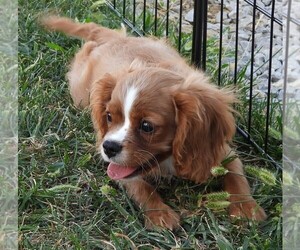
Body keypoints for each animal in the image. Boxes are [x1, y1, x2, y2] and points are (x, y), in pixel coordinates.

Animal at [41, 15, 266, 229]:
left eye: (147, 126)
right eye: (109, 117)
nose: (108, 147)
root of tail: (116, 38)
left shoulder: (223, 152)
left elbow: (236, 175)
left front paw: (246, 208)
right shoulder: (123, 170)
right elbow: (141, 187)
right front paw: (160, 214)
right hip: (80, 95)